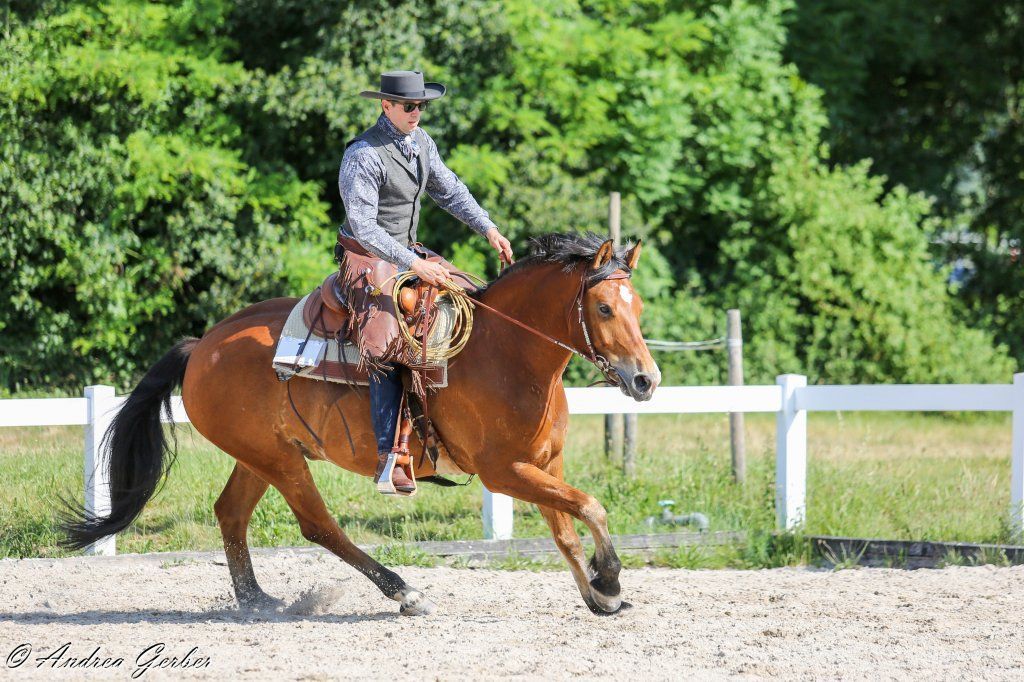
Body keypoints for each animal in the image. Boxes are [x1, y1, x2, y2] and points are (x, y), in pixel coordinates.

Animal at [62, 232, 661, 616]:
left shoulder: (543, 464)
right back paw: (403, 592)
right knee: (318, 525)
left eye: (638, 308)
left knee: (231, 513)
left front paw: (598, 594)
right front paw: (610, 578)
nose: (646, 380)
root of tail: (202, 345)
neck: (505, 353)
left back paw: (257, 601)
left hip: (259, 455)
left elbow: (566, 529)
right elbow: (590, 505)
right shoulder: (504, 472)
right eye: (604, 309)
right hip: (281, 461)